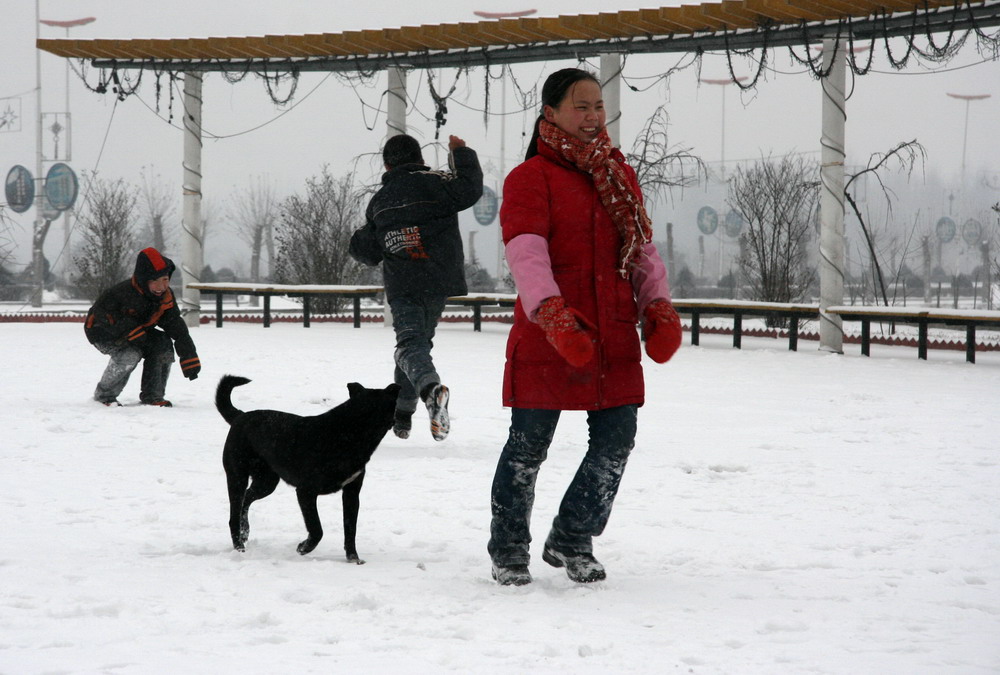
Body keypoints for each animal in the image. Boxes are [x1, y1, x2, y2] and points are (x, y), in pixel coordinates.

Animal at [215, 378, 398, 564]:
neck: (348, 433)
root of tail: (240, 416)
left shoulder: (351, 491)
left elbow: (350, 528)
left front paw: (353, 558)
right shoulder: (305, 491)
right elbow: (317, 529)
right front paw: (303, 547)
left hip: (266, 481)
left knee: (247, 498)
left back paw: (245, 532)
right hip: (237, 476)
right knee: (234, 515)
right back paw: (239, 547)